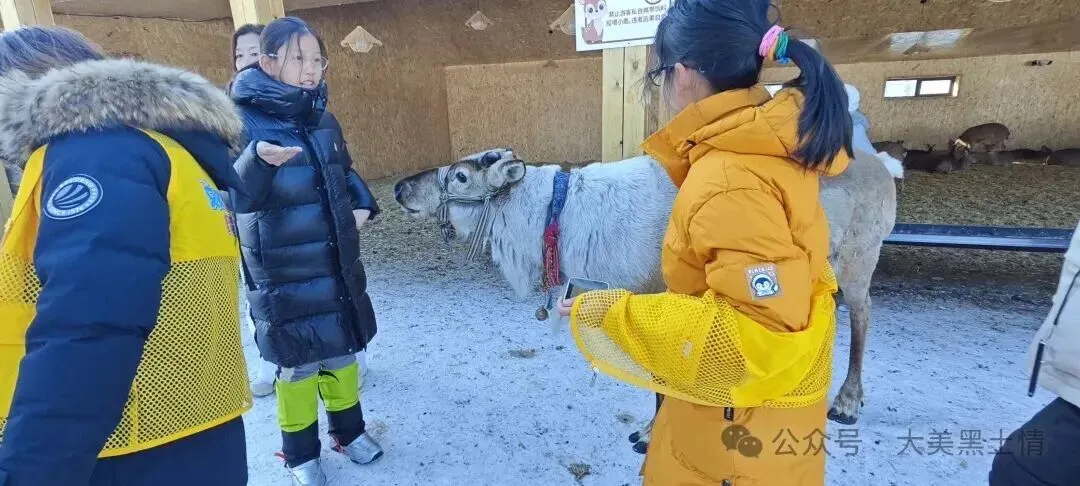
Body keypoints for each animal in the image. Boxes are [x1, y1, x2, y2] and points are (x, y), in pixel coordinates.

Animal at [393, 146, 900, 452]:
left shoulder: (658, 294)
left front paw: (649, 435)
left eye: (460, 176)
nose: (399, 187)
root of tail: (883, 164)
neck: (553, 219)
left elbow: (661, 382)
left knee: (862, 314)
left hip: (858, 257)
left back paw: (847, 402)